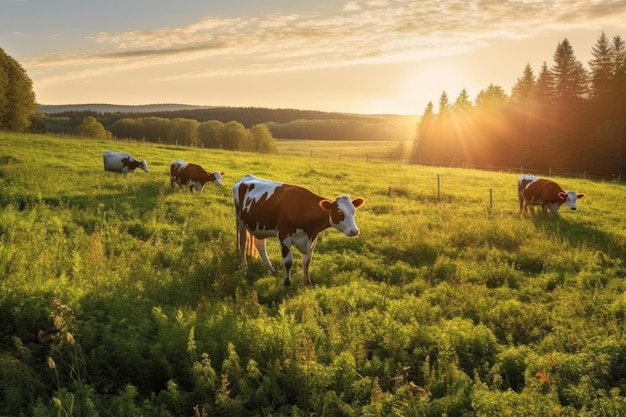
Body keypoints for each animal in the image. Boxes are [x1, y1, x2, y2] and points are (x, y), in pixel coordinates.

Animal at [232, 173, 364, 286]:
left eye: (353, 211)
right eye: (339, 212)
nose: (355, 231)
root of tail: (246, 177)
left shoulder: (312, 239)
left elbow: (306, 262)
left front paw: (307, 282)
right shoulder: (284, 236)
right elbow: (288, 262)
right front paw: (287, 282)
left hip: (259, 226)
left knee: (260, 245)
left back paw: (270, 268)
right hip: (240, 221)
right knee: (243, 243)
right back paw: (244, 265)